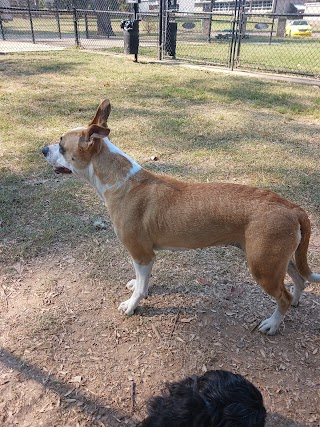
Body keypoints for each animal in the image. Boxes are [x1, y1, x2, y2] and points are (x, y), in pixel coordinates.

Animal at [43, 98, 320, 336]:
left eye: (61, 144)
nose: (43, 149)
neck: (121, 180)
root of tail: (290, 206)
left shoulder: (142, 254)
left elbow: (141, 287)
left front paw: (132, 305)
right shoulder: (143, 258)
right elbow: (141, 282)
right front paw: (138, 288)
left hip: (263, 268)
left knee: (282, 296)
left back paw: (273, 323)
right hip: (278, 260)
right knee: (299, 280)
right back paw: (295, 302)